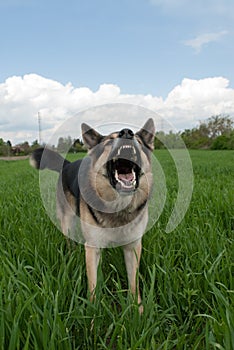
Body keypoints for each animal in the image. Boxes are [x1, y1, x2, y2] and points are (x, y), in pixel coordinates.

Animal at [30, 118, 155, 312]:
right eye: (109, 141)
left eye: (139, 141)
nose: (127, 132)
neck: (118, 205)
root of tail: (68, 164)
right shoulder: (93, 247)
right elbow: (93, 284)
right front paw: (93, 312)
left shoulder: (133, 246)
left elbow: (133, 282)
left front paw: (138, 309)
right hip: (68, 223)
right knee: (71, 243)